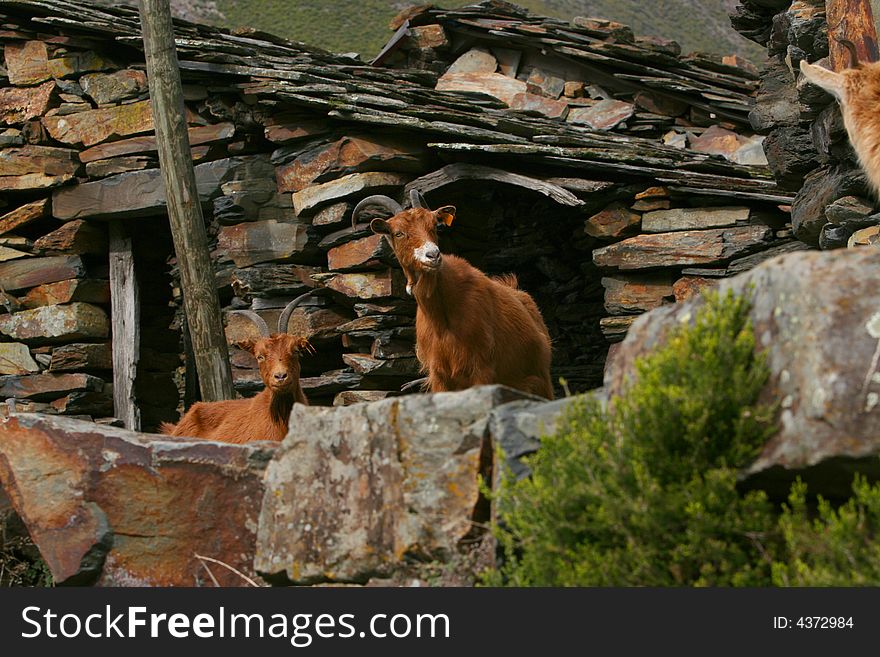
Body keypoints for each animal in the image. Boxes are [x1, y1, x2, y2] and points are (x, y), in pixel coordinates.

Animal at [352, 191, 552, 400]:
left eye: (434, 226)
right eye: (398, 233)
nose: (433, 255)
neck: (441, 317)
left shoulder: (482, 369)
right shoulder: (439, 375)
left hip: (541, 379)